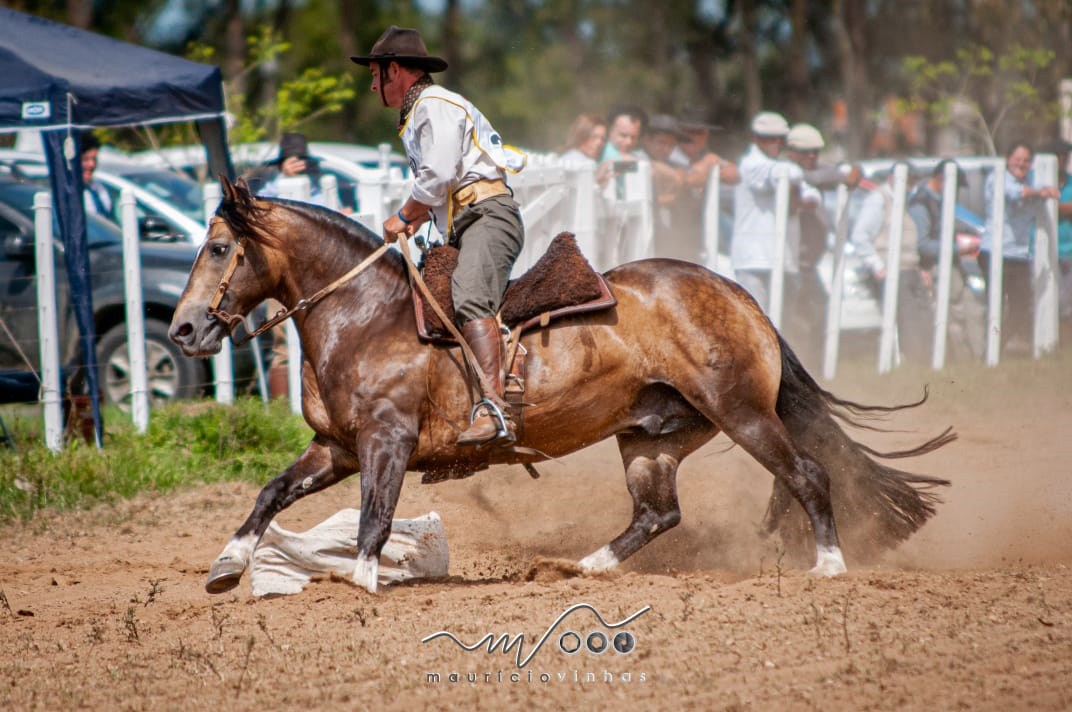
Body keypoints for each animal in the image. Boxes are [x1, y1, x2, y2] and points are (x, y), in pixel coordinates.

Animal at [169, 179, 956, 596]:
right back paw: (583, 567)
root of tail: (738, 295)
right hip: (650, 437)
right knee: (658, 514)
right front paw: (228, 564)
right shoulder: (334, 446)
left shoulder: (385, 442)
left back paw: (830, 564)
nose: (181, 329)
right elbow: (271, 492)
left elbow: (374, 520)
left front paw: (363, 583)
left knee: (808, 474)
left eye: (218, 247)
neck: (365, 314)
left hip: (742, 413)